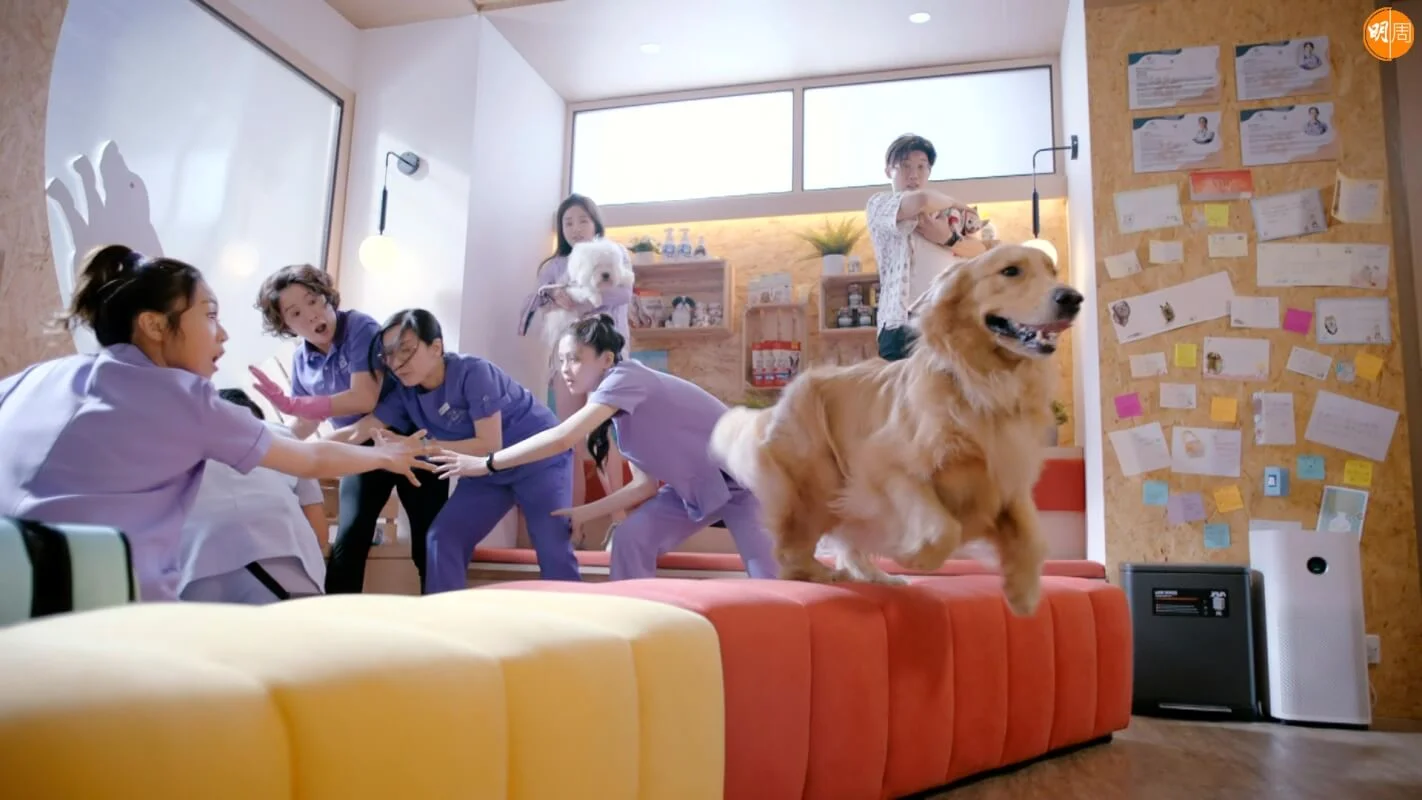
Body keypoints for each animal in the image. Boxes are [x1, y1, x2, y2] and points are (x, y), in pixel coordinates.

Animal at [709, 244, 1081, 617]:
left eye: (1053, 271)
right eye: (1010, 271)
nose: (1073, 298)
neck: (982, 384)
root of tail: (778, 401)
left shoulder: (1007, 479)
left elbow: (1033, 537)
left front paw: (1022, 591)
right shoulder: (885, 467)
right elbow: (944, 528)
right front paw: (915, 556)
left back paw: (877, 576)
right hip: (818, 482)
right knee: (790, 555)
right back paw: (826, 573)